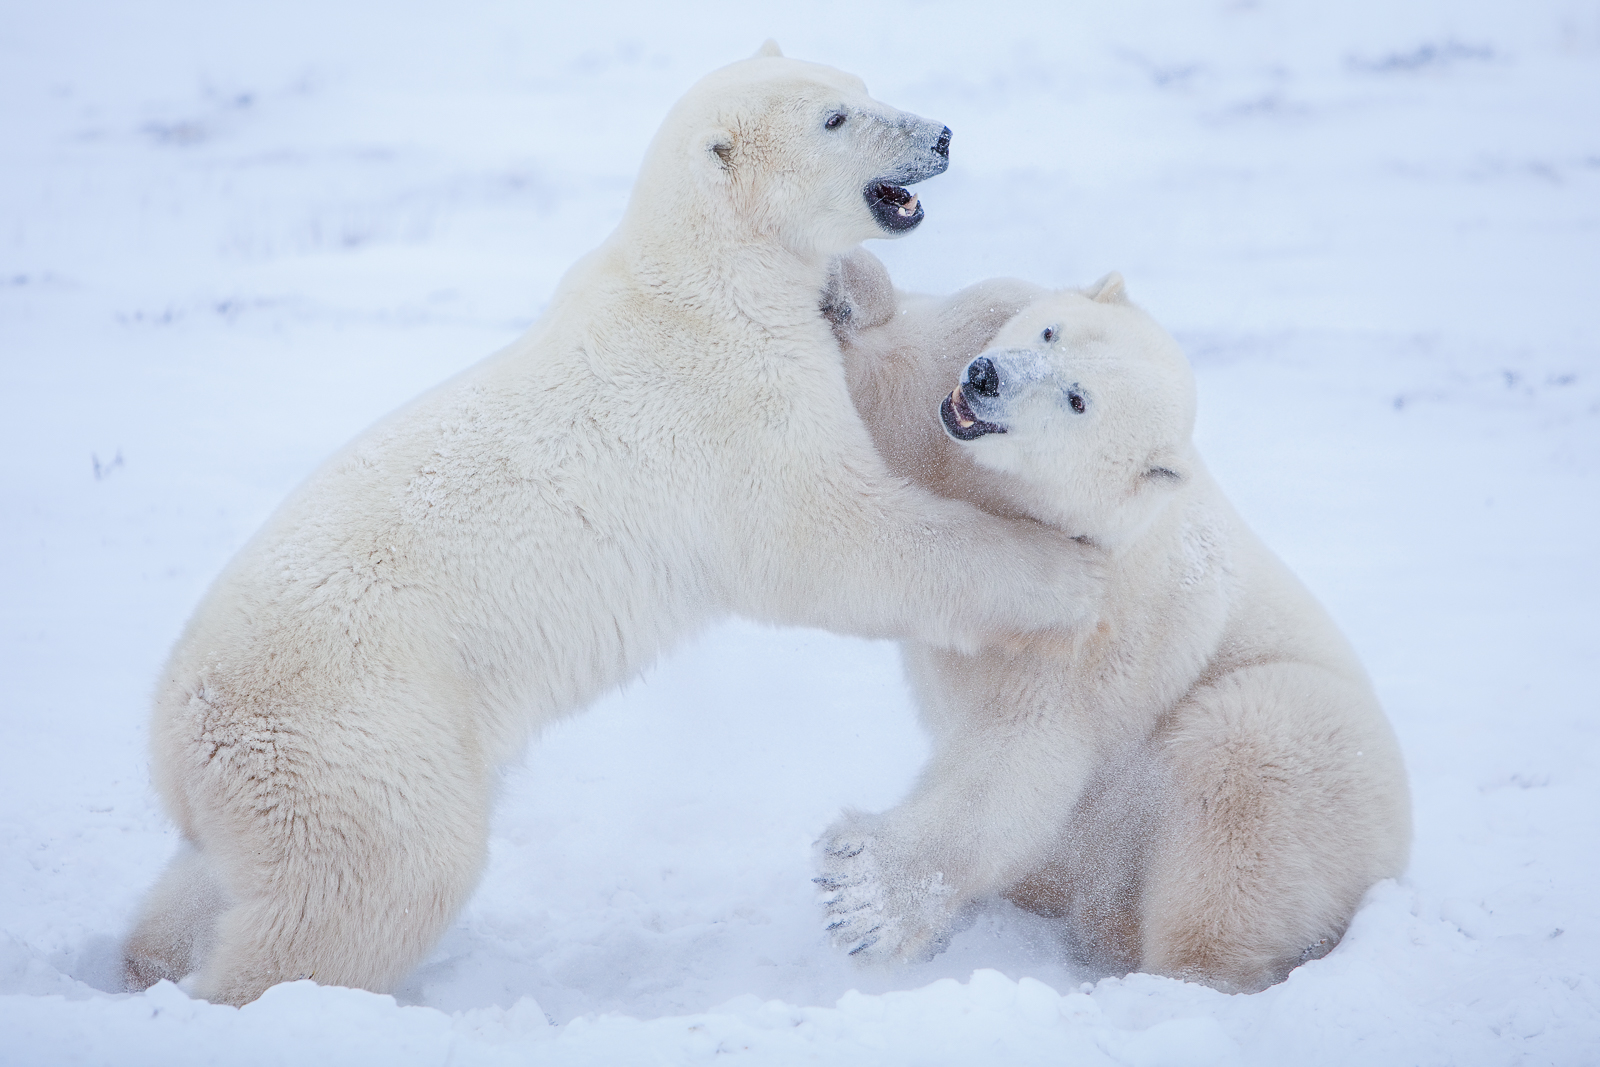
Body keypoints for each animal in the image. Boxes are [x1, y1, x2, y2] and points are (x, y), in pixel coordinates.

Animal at [121, 47, 1113, 1011]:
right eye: (835, 118)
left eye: (862, 82)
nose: (940, 134)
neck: (702, 279)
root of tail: (178, 736)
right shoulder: (727, 400)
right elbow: (833, 540)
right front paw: (1066, 573)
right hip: (362, 733)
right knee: (374, 883)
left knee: (223, 875)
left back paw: (145, 956)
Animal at [819, 251, 1408, 991]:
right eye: (1050, 331)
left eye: (1078, 401)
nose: (986, 379)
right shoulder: (950, 396)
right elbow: (891, 384)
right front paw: (848, 290)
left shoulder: (1099, 628)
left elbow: (1022, 753)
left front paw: (863, 894)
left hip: (1313, 761)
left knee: (1248, 765)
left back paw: (1176, 976)